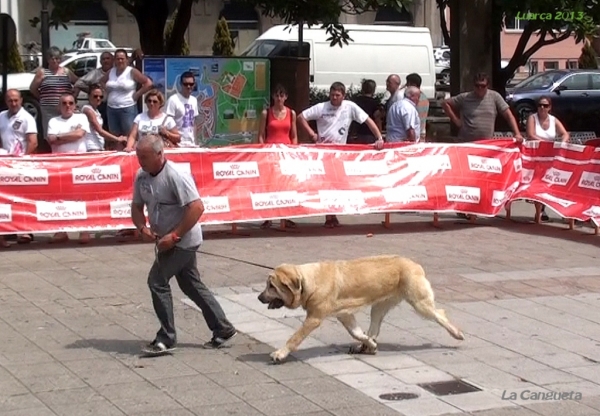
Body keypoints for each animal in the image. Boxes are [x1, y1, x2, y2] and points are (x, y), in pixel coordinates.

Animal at [256, 254, 464, 360]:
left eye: (271, 286)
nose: (259, 297)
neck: (308, 281)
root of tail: (414, 263)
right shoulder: (344, 315)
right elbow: (356, 333)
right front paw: (369, 343)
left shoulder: (314, 318)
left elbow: (295, 338)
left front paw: (280, 353)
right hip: (379, 308)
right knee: (374, 329)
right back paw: (366, 347)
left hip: (420, 303)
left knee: (439, 313)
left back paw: (457, 333)